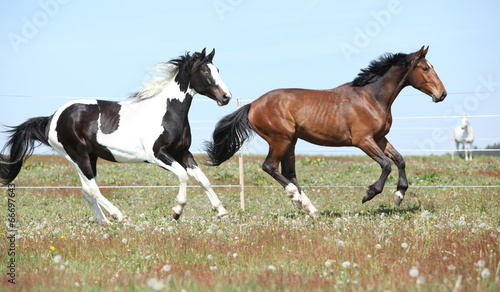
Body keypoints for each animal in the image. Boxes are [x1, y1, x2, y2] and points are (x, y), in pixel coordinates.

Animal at [0, 49, 232, 225]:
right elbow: (183, 176)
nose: (226, 97)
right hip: (78, 156)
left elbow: (203, 180)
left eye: (218, 70)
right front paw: (176, 211)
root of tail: (51, 118)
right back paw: (118, 216)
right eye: (205, 70)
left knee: (86, 191)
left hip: (89, 157)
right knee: (91, 189)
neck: (167, 112)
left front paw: (222, 212)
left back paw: (105, 222)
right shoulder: (157, 155)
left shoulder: (183, 153)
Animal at [205, 46, 448, 217]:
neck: (371, 97)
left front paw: (399, 195)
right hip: (280, 139)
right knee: (269, 167)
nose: (442, 94)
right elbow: (387, 164)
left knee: (289, 173)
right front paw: (369, 194)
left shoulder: (379, 138)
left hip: (291, 142)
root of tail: (253, 105)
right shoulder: (363, 140)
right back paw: (296, 199)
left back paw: (311, 209)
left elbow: (399, 160)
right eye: (425, 68)